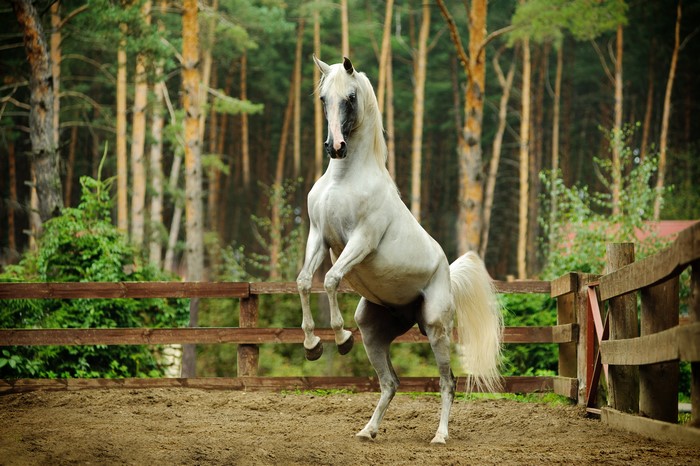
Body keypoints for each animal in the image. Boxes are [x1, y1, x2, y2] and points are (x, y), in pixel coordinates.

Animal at [296, 56, 503, 445]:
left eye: (350, 97)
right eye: (323, 98)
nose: (336, 147)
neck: (344, 179)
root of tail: (447, 272)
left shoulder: (361, 240)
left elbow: (330, 280)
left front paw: (340, 338)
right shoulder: (318, 236)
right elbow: (304, 282)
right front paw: (313, 345)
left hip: (436, 328)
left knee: (448, 382)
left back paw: (440, 436)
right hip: (374, 329)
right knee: (390, 382)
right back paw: (368, 431)